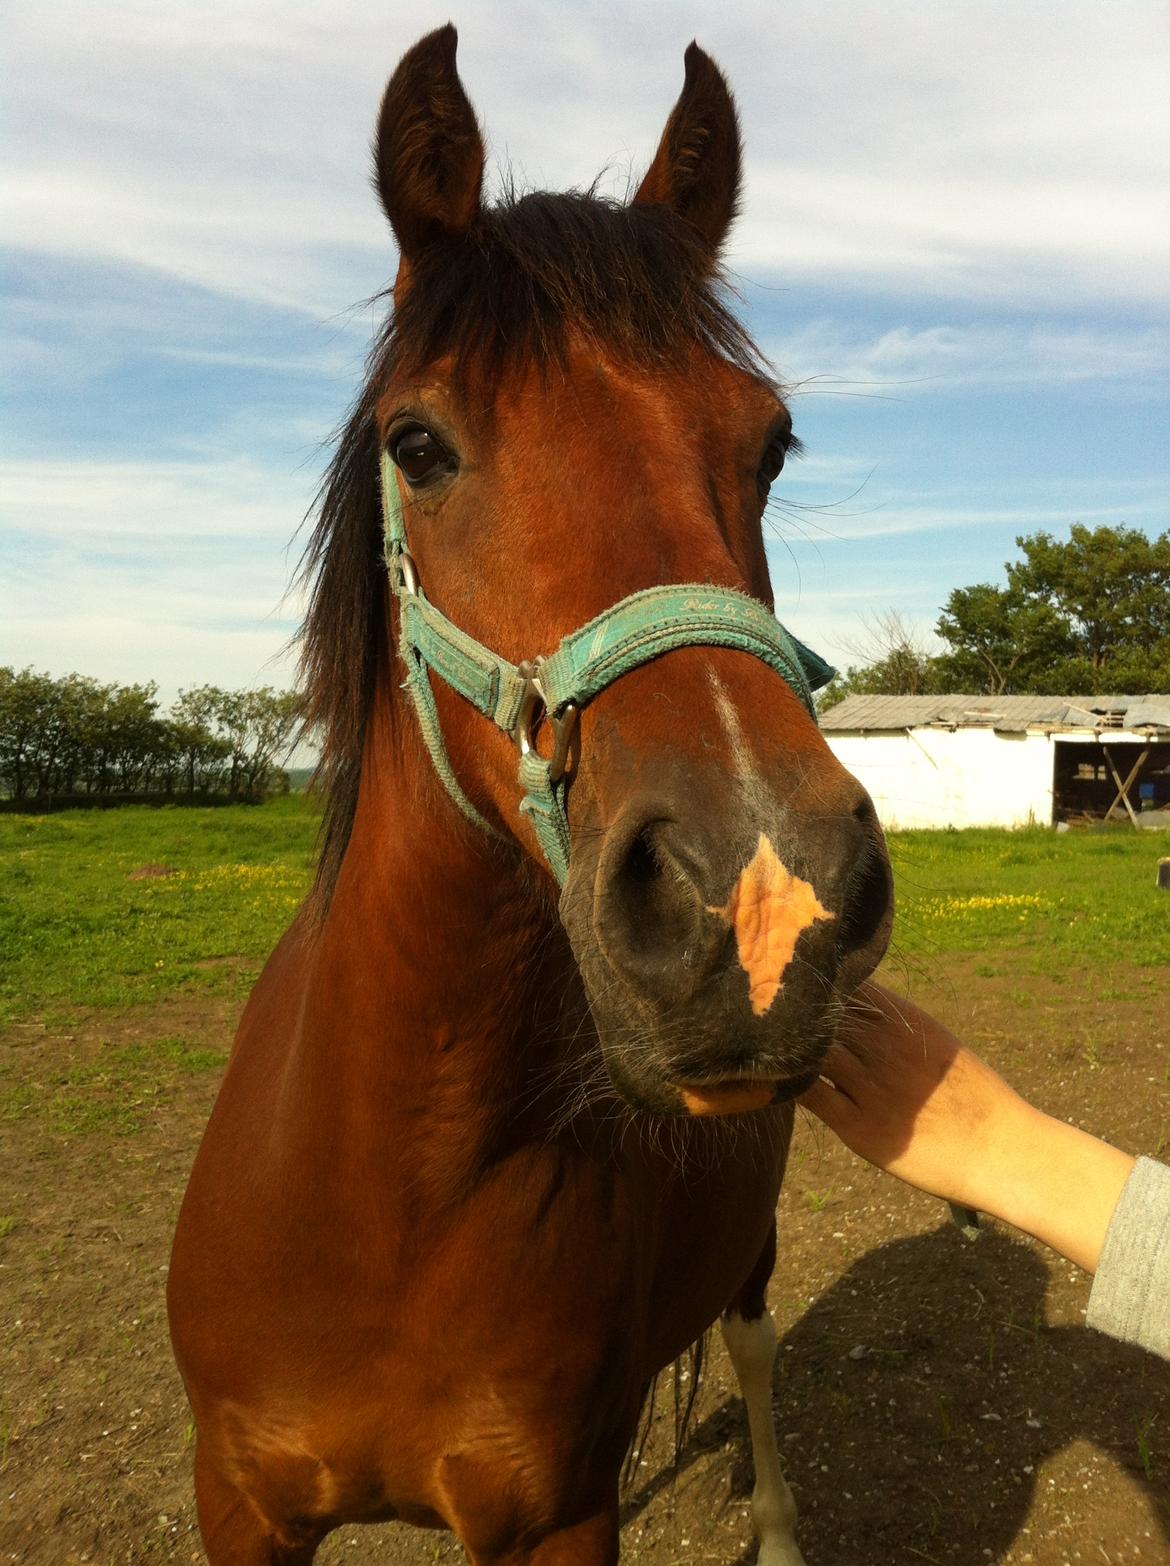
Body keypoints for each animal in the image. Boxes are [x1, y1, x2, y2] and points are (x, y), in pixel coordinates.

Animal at [169, 27, 889, 1566]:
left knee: (753, 1352)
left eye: (770, 445)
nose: (762, 894)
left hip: (749, 1242)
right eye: (418, 444)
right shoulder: (239, 1502)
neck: (386, 1197)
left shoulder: (556, 1513)